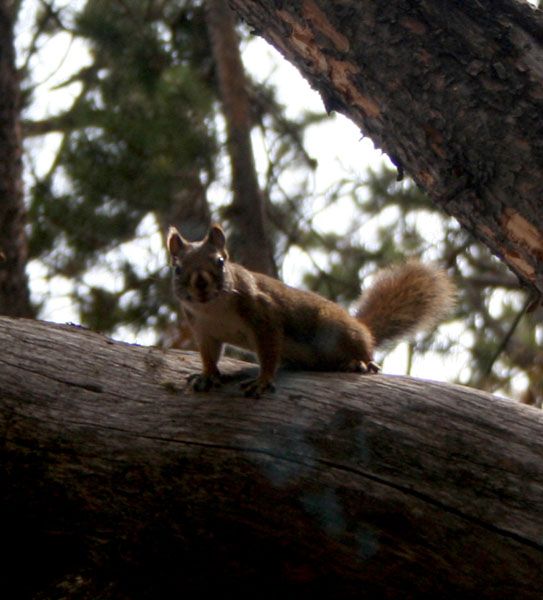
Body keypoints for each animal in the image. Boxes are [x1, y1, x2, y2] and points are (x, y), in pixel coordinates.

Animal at [168, 223, 456, 396]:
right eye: (177, 268)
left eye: (220, 261)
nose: (201, 285)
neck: (213, 308)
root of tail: (363, 329)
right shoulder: (204, 331)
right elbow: (209, 355)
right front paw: (207, 376)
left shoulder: (264, 316)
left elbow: (269, 352)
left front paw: (263, 380)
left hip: (337, 330)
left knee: (364, 351)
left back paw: (360, 362)